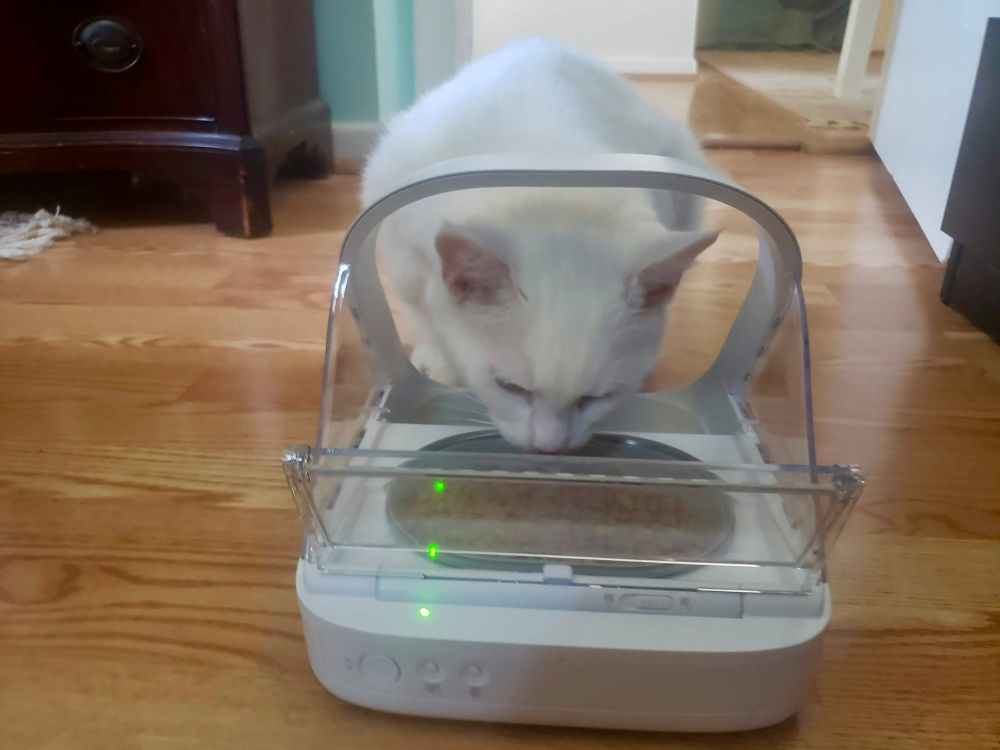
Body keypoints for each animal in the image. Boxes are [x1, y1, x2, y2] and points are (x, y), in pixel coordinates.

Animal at [364, 38, 716, 452]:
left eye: (596, 398)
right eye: (511, 388)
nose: (549, 447)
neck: (554, 180)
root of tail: (541, 42)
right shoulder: (404, 247)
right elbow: (423, 309)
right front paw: (439, 355)